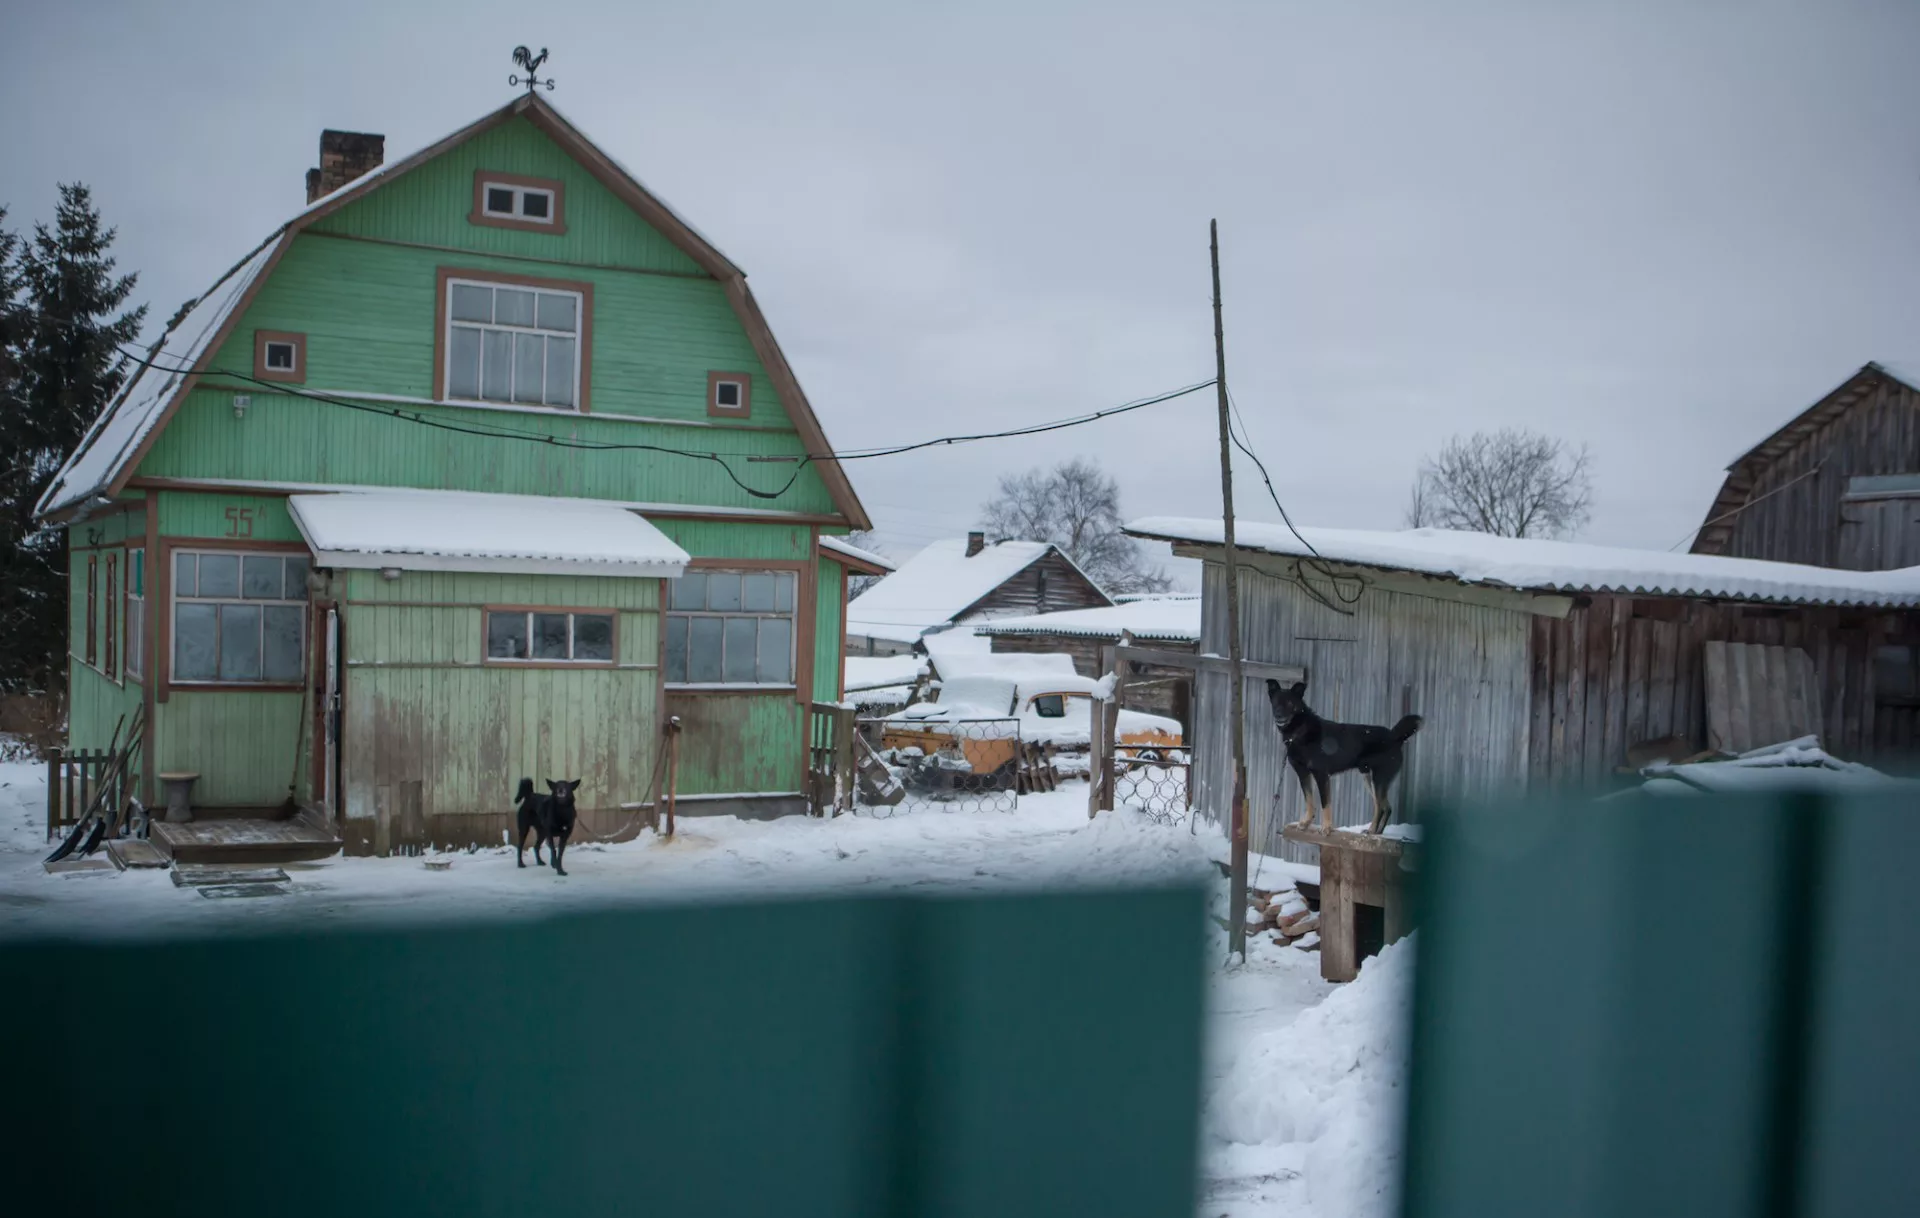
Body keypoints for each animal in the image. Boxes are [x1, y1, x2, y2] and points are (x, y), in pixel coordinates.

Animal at [1267, 672, 1420, 833]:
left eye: (1290, 703)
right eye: (1275, 702)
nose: (1278, 715)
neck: (1299, 730)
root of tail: (1394, 736)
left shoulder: (1321, 774)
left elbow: (1325, 803)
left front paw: (1327, 827)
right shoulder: (1303, 773)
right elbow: (1309, 800)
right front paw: (1306, 822)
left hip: (1379, 778)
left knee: (1382, 806)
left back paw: (1372, 831)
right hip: (1369, 778)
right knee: (1384, 806)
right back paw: (1373, 832)